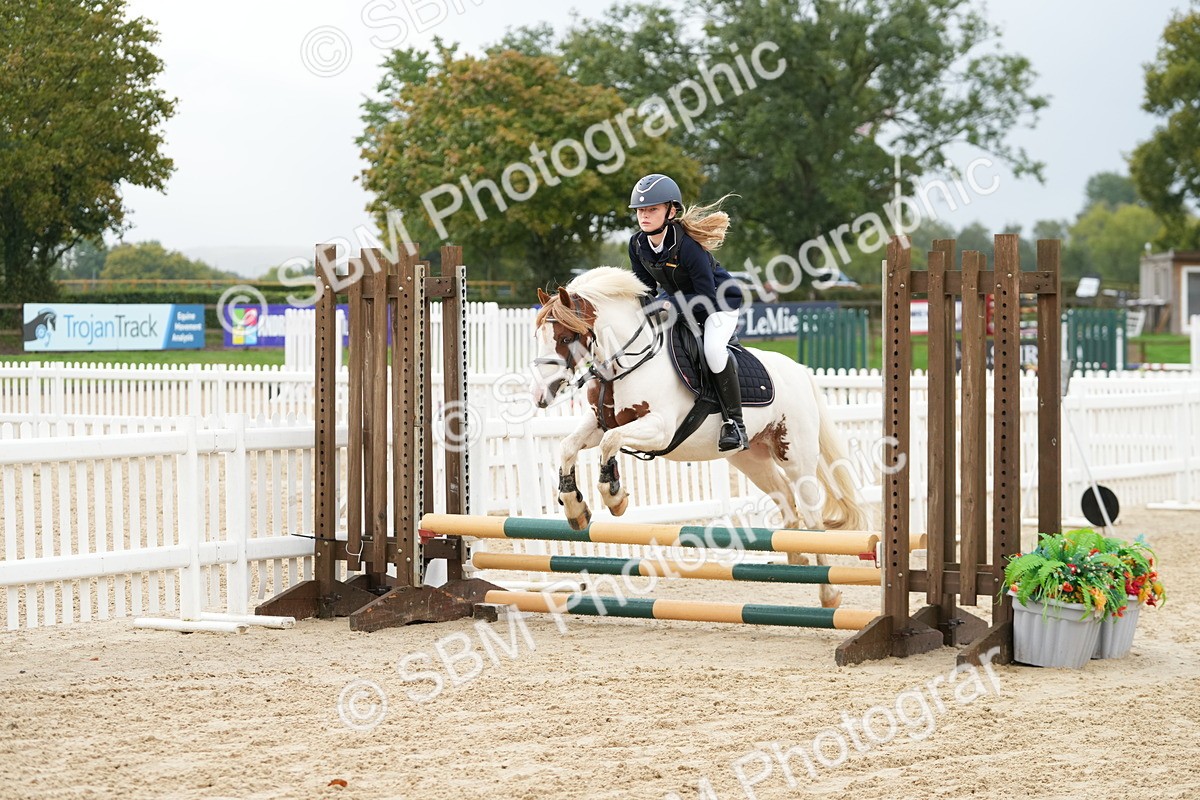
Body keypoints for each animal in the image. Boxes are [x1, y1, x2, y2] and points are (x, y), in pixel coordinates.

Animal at [530, 267, 872, 609]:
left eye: (564, 338)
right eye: (537, 337)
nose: (540, 396)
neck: (628, 361)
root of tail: (800, 370)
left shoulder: (660, 429)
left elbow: (610, 442)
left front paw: (614, 497)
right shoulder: (600, 422)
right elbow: (569, 446)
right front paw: (575, 508)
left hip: (796, 455)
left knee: (812, 516)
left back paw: (828, 593)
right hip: (751, 459)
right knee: (787, 500)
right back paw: (795, 559)